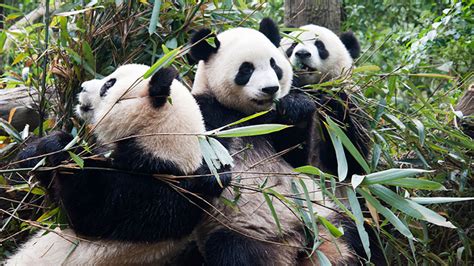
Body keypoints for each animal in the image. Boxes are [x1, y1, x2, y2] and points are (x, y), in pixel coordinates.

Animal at [6, 65, 230, 264]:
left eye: (109, 84)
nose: (82, 87)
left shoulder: (156, 194)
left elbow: (88, 211)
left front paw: (61, 146)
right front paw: (33, 153)